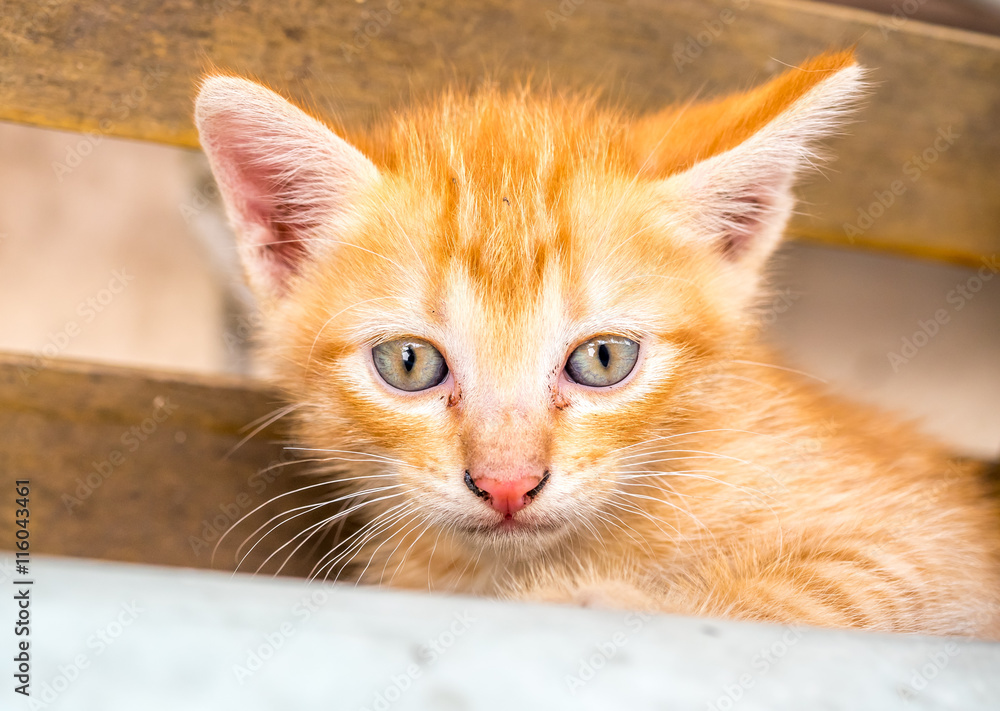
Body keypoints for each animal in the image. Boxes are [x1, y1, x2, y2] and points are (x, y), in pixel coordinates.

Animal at [195, 52, 1000, 636]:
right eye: (410, 363)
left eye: (603, 359)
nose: (508, 484)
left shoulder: (939, 549)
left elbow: (823, 592)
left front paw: (594, 598)